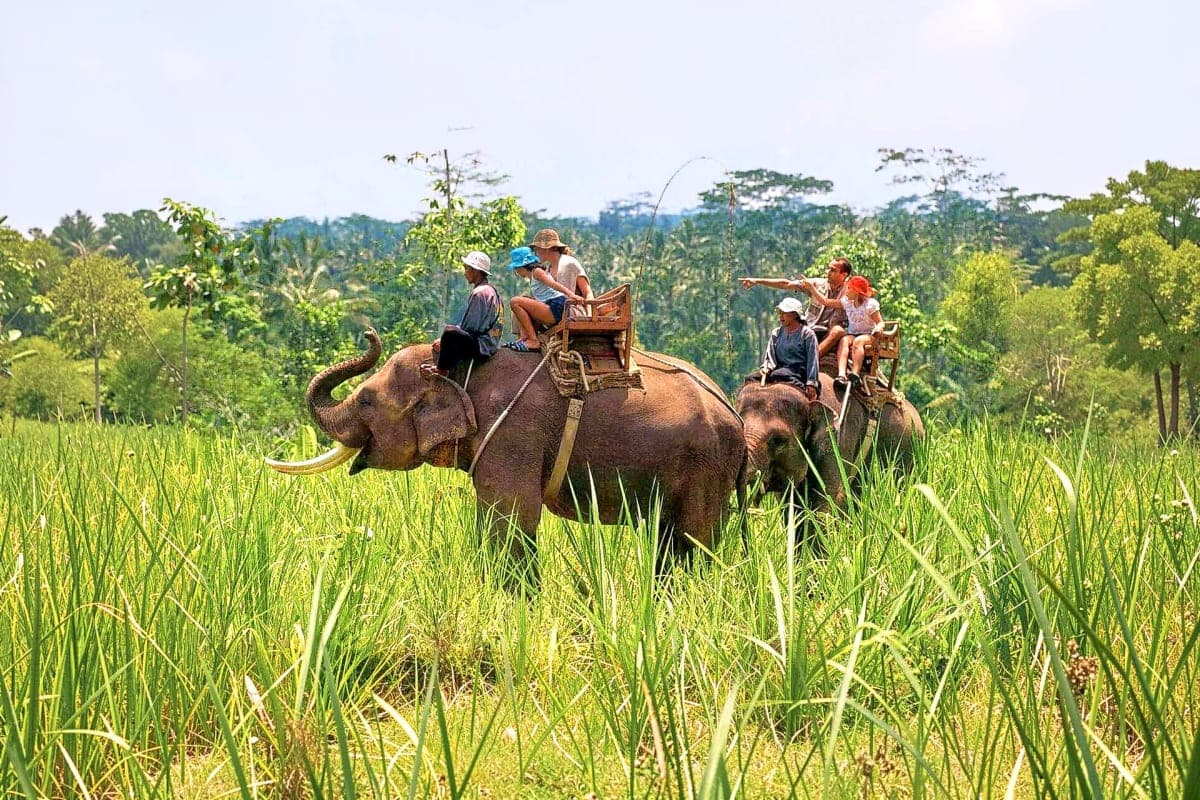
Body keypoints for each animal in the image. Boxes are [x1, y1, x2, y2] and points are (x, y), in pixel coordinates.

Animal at [267, 329, 746, 584]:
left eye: (366, 400)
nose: (369, 334)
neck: (461, 368)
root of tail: (735, 416)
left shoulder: (513, 432)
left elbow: (512, 513)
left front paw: (515, 600)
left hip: (704, 465)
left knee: (690, 539)